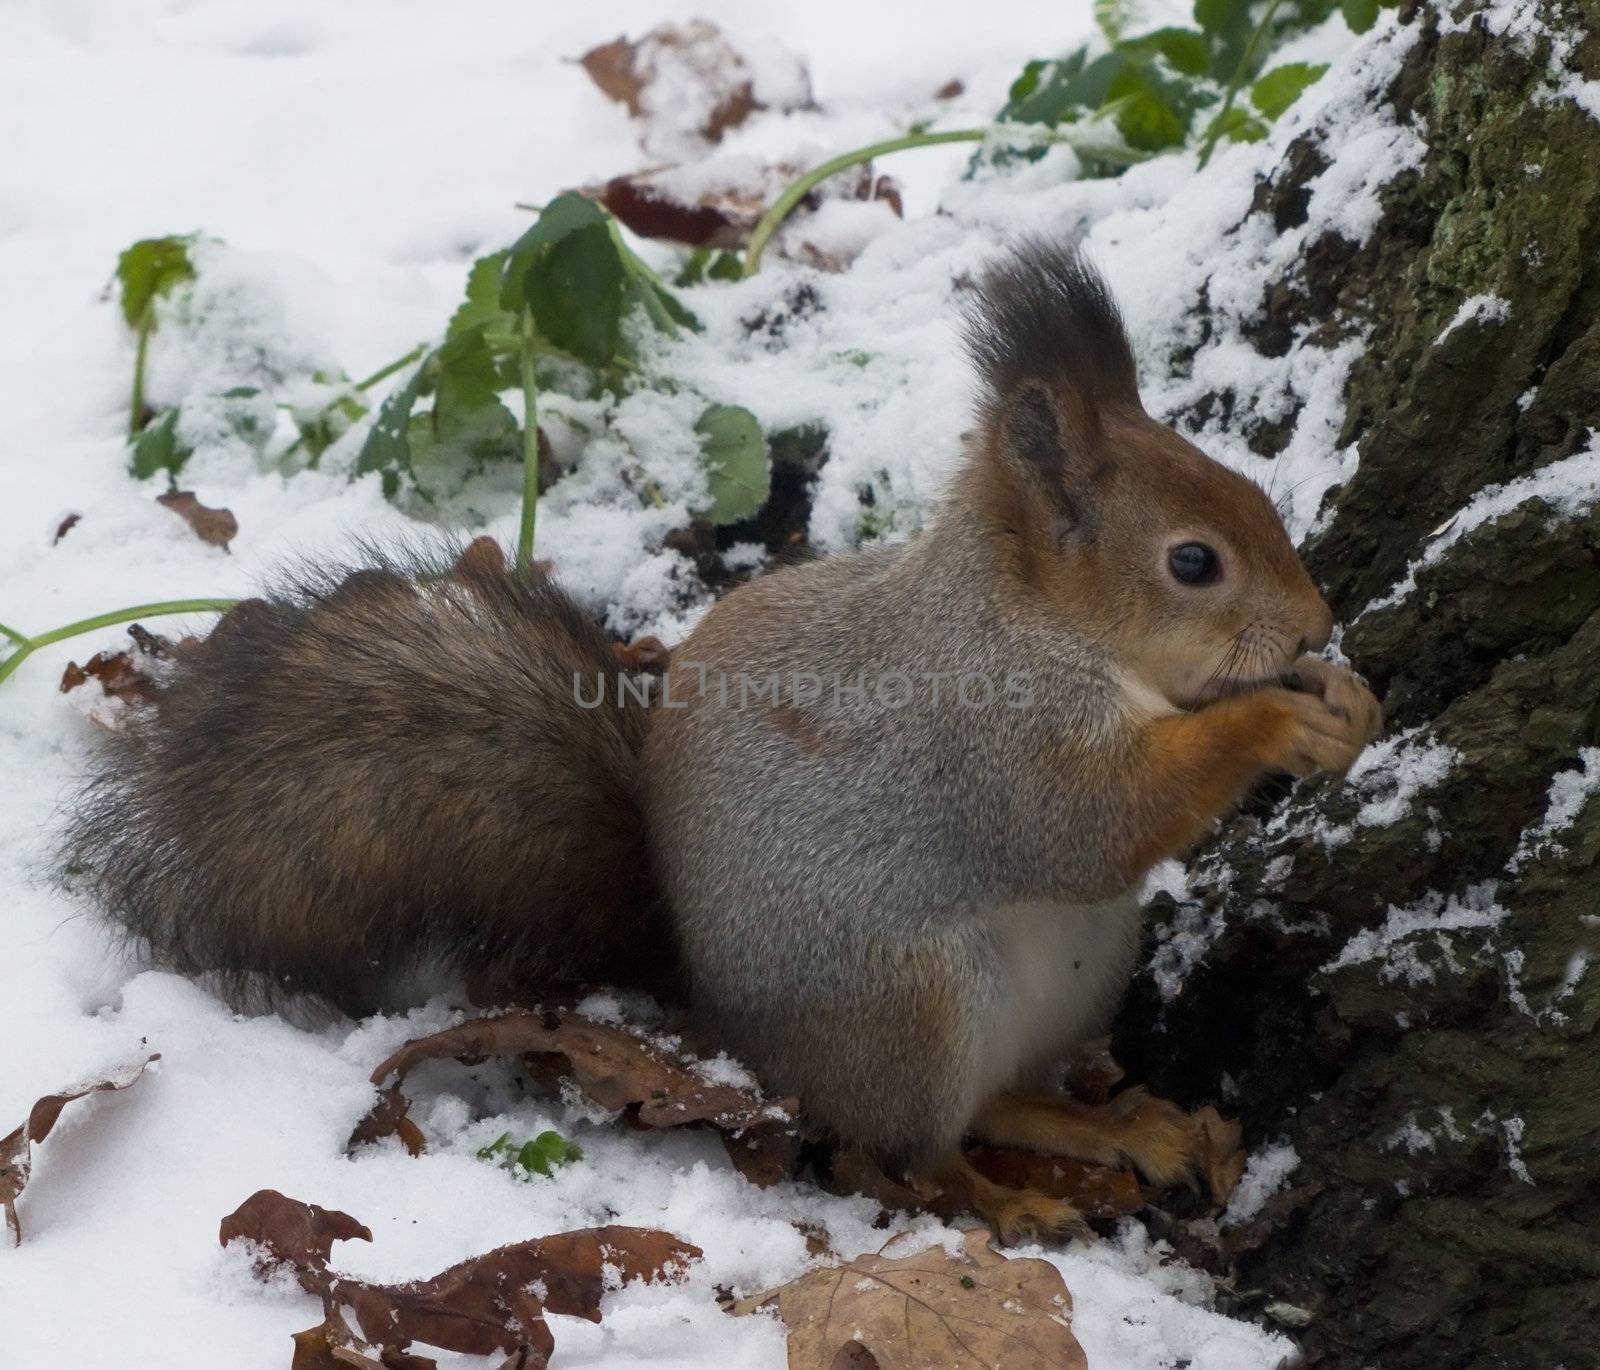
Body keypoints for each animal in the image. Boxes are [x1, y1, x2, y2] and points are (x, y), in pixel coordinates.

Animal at [62, 240, 1382, 1248]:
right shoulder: (989, 737)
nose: (1314, 623)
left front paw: (1346, 698)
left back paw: (1115, 1126)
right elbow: (1091, 822)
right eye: (1192, 561)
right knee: (904, 1146)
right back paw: (1005, 1201)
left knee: (1003, 1099)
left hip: (1079, 971)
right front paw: (1278, 717)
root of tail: (738, 1028)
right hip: (912, 1003)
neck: (1038, 622)